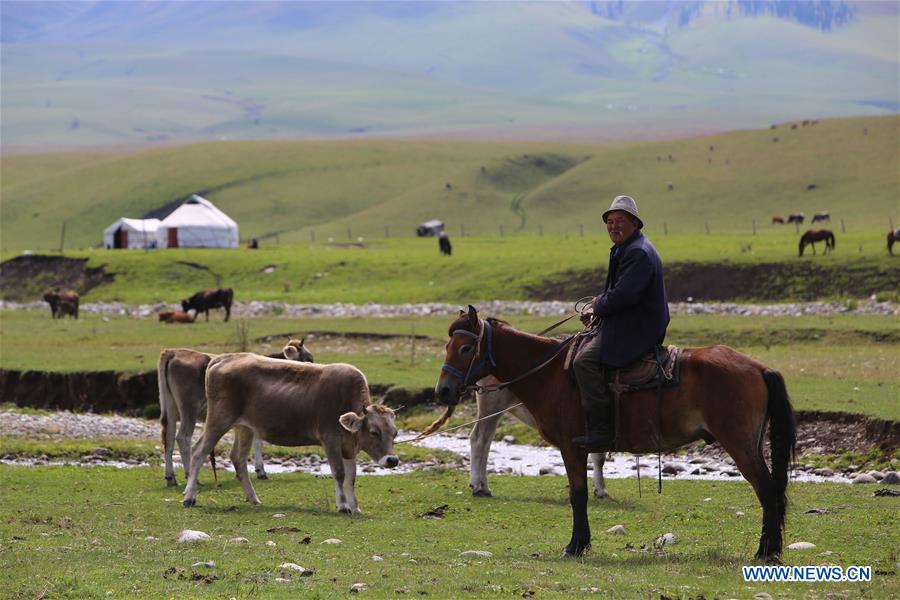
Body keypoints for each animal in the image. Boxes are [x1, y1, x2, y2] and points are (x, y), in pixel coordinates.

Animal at [153, 338, 312, 488]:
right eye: (309, 359)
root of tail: (174, 352)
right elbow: (258, 441)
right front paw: (260, 471)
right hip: (189, 406)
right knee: (183, 437)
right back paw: (191, 477)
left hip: (170, 406)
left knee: (168, 438)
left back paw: (171, 478)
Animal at [183, 354, 398, 512]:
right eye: (374, 432)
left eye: (394, 433)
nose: (392, 460)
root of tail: (222, 358)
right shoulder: (330, 439)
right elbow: (339, 473)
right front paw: (343, 506)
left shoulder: (348, 446)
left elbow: (351, 477)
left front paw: (355, 507)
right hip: (219, 419)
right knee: (199, 451)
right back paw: (189, 497)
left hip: (245, 427)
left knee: (238, 457)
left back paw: (253, 498)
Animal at [436, 308, 796, 564]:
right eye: (447, 346)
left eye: (466, 348)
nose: (443, 391)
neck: (550, 374)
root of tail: (759, 368)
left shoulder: (572, 447)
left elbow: (577, 495)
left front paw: (576, 545)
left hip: (740, 443)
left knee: (767, 489)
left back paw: (767, 551)